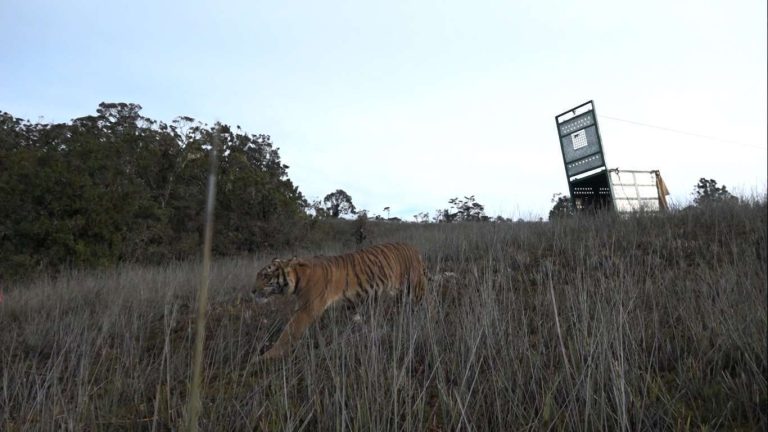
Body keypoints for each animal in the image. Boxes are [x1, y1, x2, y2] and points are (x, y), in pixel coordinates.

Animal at [254, 241, 428, 360]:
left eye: (265, 276)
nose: (252, 291)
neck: (298, 277)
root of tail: (415, 248)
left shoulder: (306, 310)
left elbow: (287, 334)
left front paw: (265, 357)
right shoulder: (350, 305)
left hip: (415, 289)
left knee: (420, 309)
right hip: (399, 295)